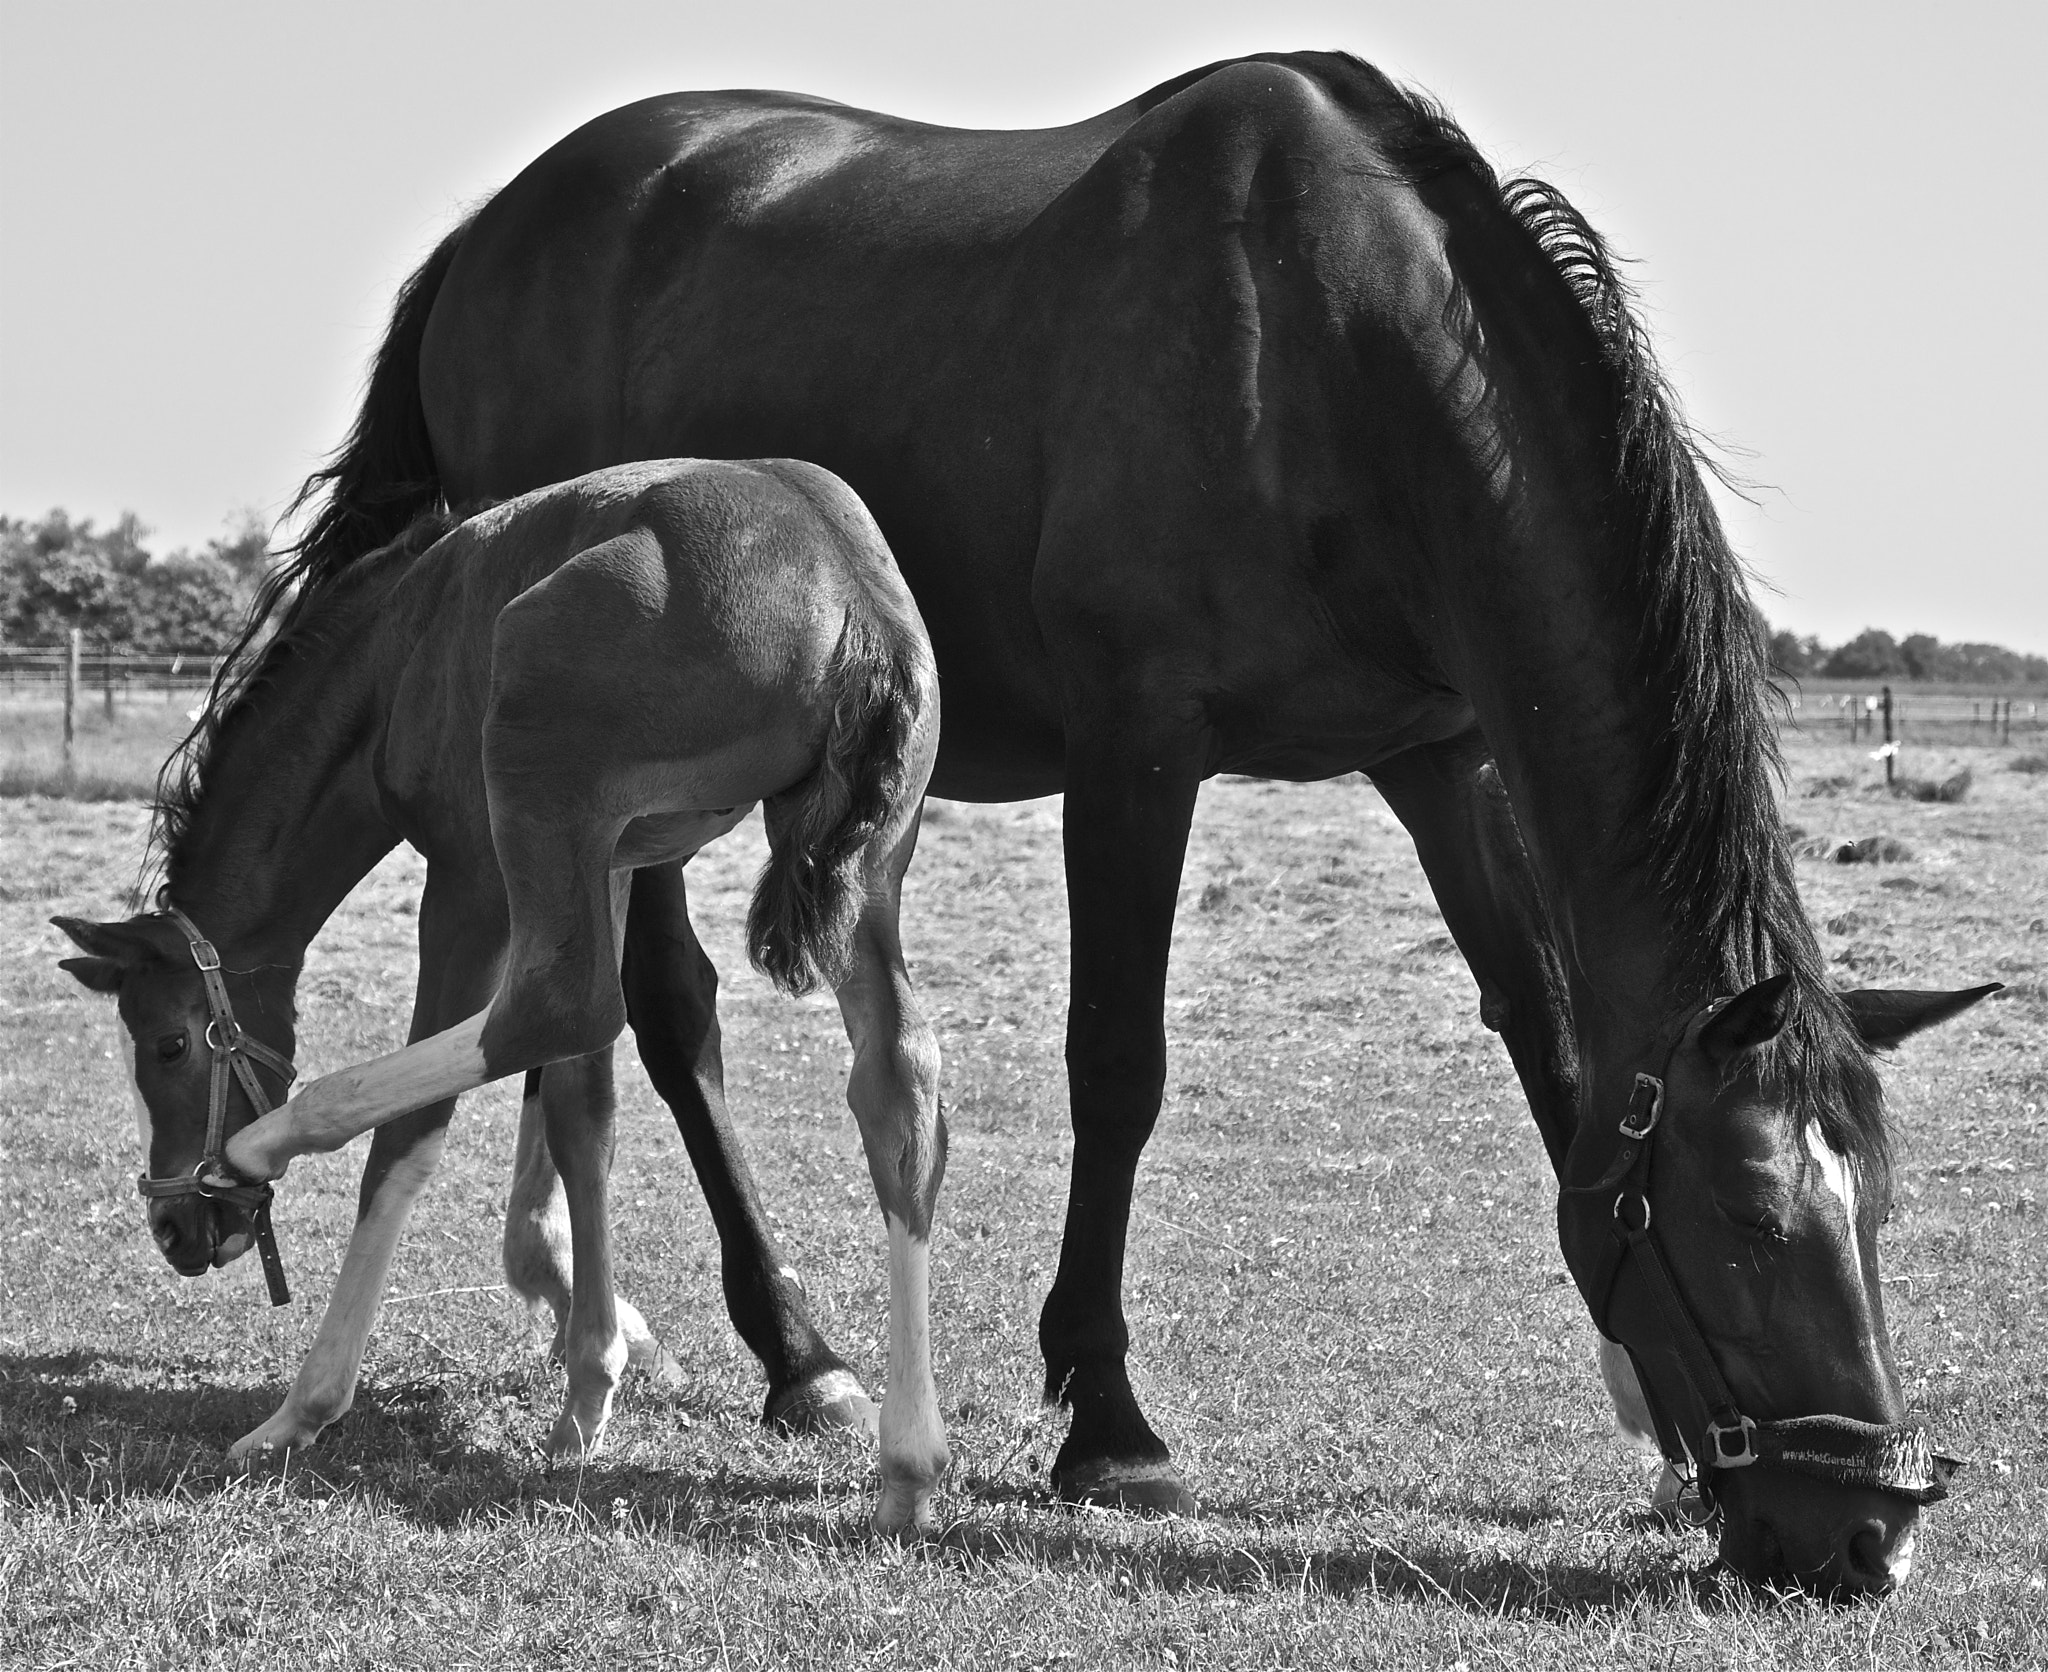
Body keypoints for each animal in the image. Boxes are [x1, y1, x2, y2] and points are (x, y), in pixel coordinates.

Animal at [53, 457, 952, 1533]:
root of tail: (849, 596)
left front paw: (305, 1408)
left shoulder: (470, 881)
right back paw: (905, 1465)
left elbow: (418, 1135)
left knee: (549, 1009)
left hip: (534, 785)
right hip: (869, 862)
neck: (391, 656)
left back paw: (273, 1160)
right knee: (894, 1078)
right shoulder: (614, 855)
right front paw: (587, 1391)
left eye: (167, 1045)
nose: (175, 1227)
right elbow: (582, 1107)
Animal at [264, 51, 1993, 1591]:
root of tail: (494, 228)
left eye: (1880, 1204)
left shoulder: (1444, 763)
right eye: (1753, 1215)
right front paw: (1108, 1423)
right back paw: (793, 1354)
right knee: (664, 1016)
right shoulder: (1137, 754)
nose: (1864, 1539)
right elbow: (1119, 1065)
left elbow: (1556, 1058)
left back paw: (589, 1302)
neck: (1329, 349)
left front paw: (1653, 1435)